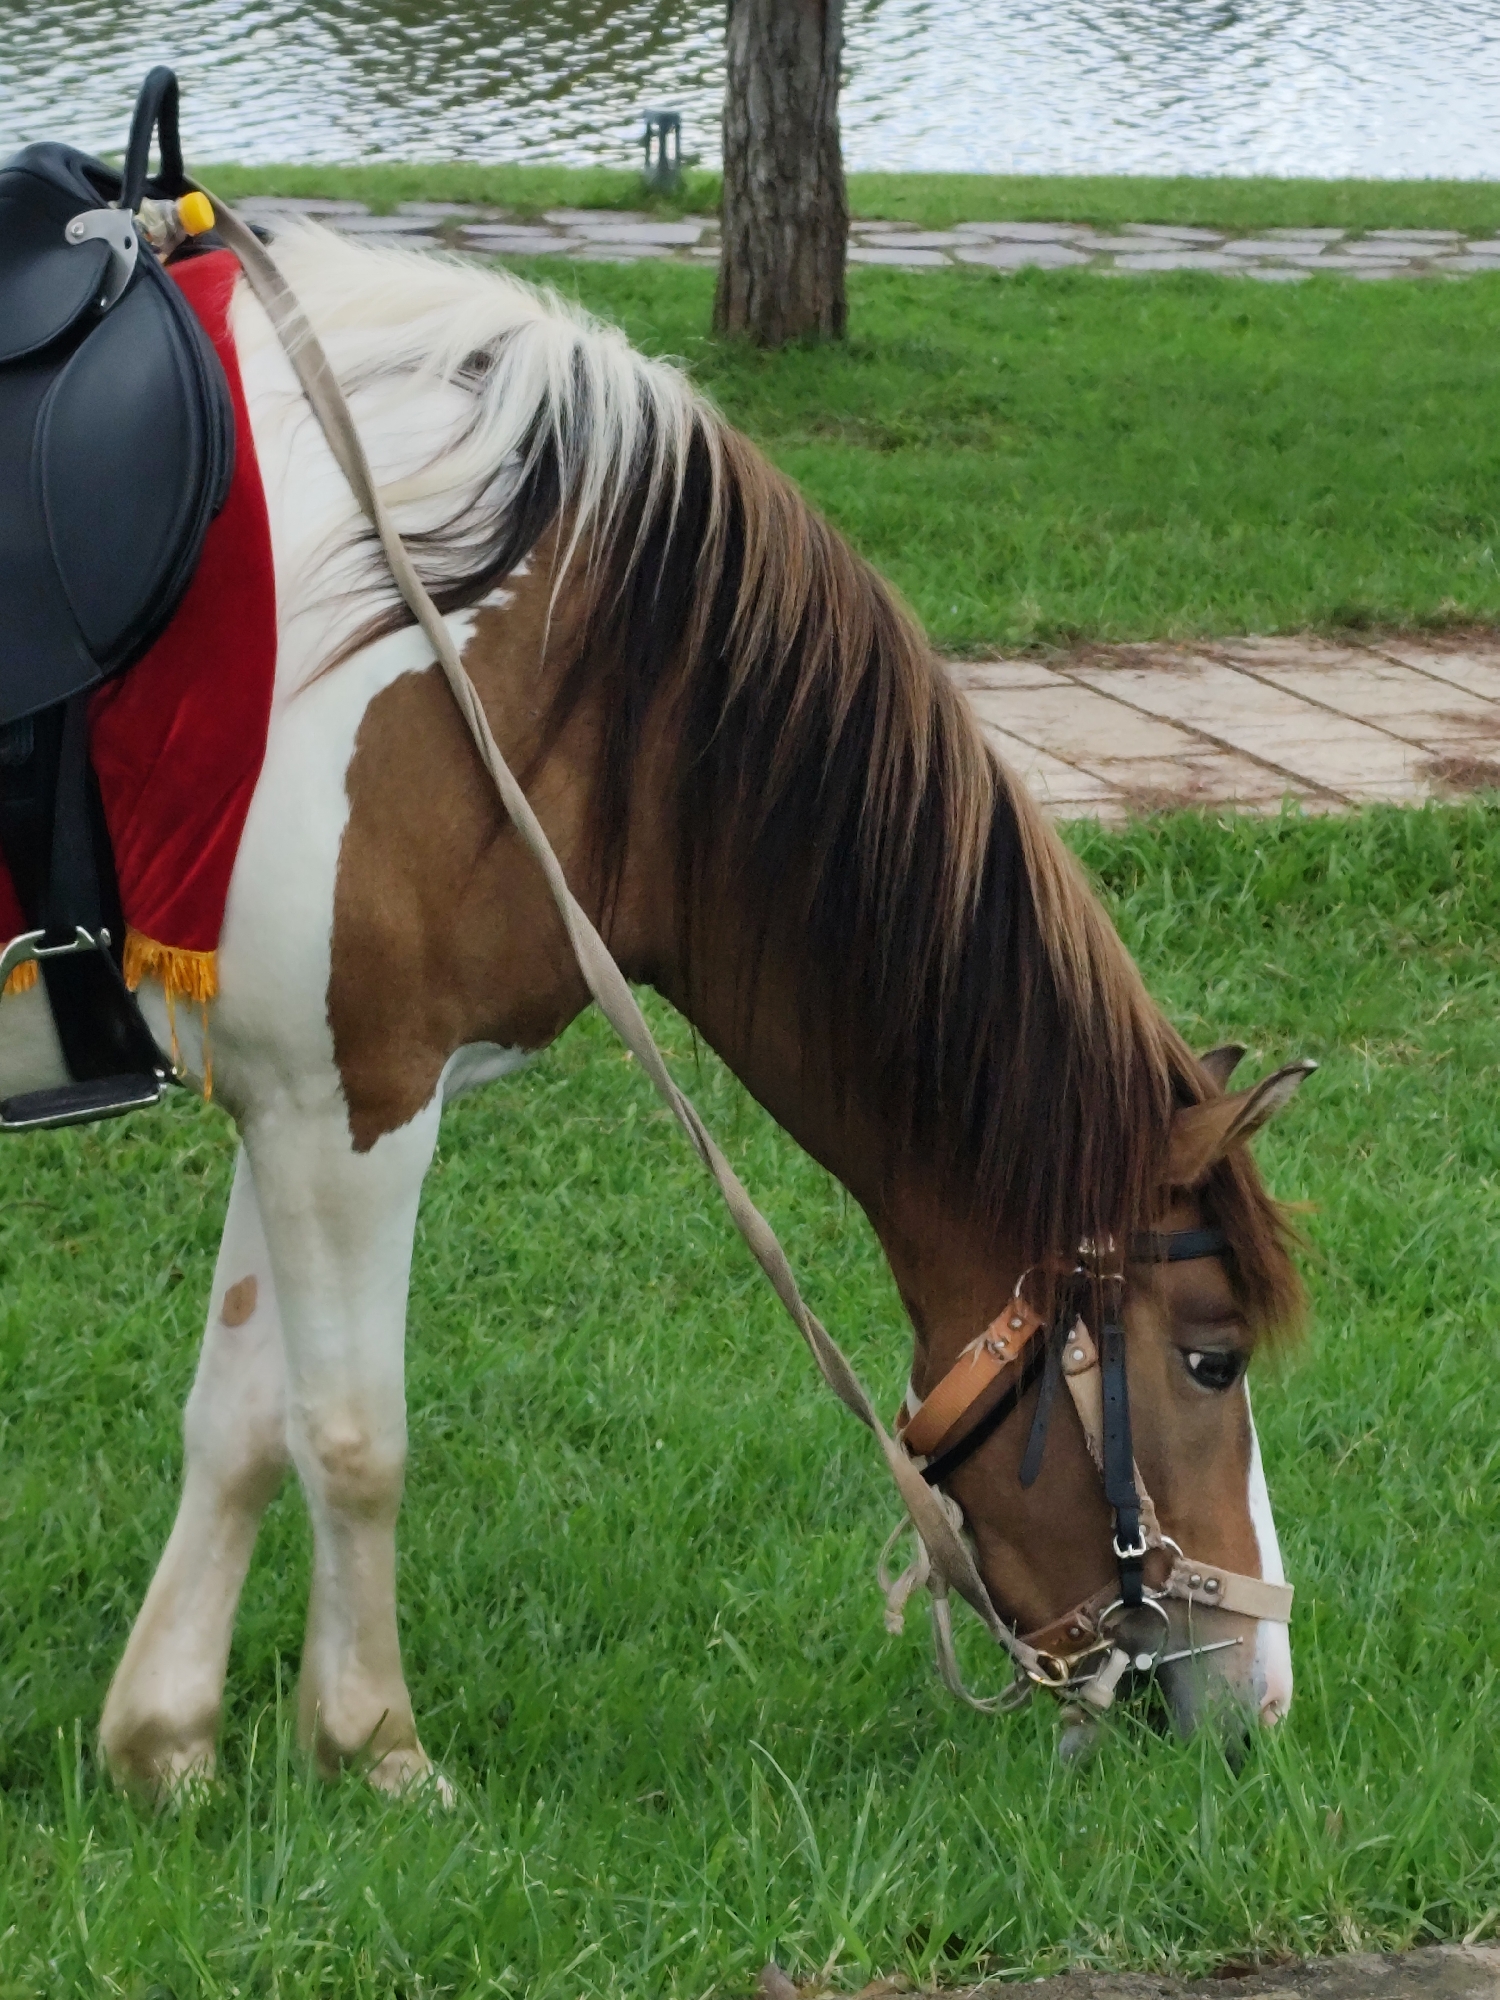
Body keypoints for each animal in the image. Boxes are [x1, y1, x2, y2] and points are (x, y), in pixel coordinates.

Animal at [0, 225, 1310, 1798]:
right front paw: (380, 1749)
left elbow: (244, 1422)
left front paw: (166, 1749)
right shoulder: (360, 1105)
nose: (1263, 1701)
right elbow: (355, 1436)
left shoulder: (297, 1088)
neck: (508, 640)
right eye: (1211, 1356)